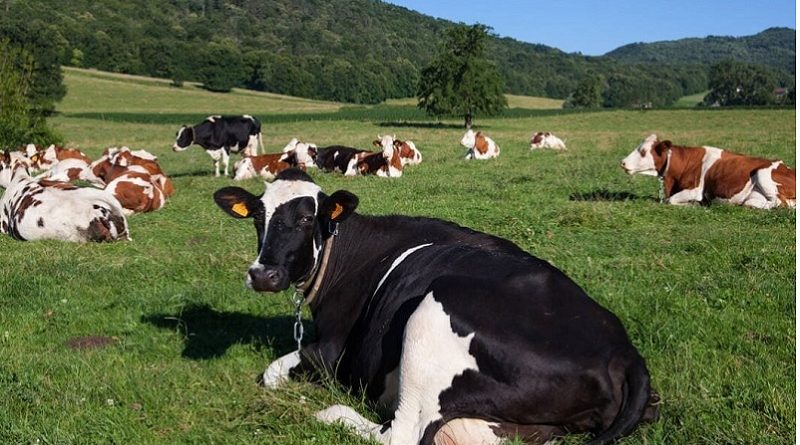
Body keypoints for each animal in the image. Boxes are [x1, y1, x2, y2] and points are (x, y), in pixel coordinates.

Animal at [212, 169, 658, 445]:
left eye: (308, 219)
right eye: (257, 217)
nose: (263, 274)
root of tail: (623, 352)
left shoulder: (332, 352)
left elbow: (272, 373)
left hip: (431, 314)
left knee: (401, 434)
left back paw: (327, 412)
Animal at [621, 134, 796, 209]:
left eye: (643, 151)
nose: (622, 162)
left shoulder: (695, 190)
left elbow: (671, 200)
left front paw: (691, 204)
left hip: (762, 173)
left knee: (780, 203)